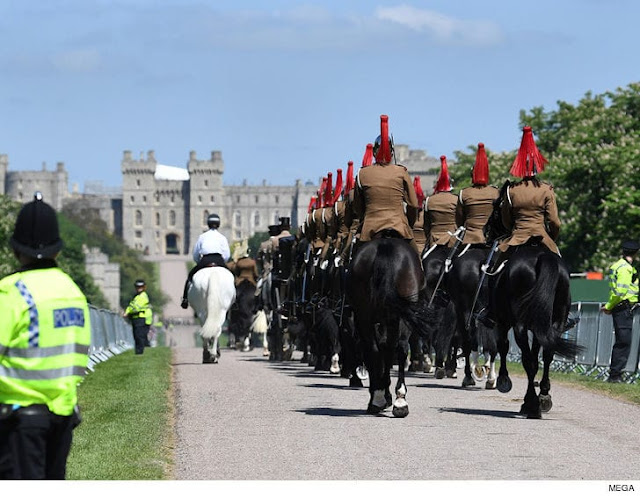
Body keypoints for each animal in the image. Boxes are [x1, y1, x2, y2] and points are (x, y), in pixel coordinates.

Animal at [344, 234, 430, 416]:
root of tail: (385, 246)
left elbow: (383, 351)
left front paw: (383, 392)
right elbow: (388, 350)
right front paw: (386, 394)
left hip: (365, 316)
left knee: (375, 349)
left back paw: (380, 399)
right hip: (396, 315)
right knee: (399, 347)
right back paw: (398, 401)